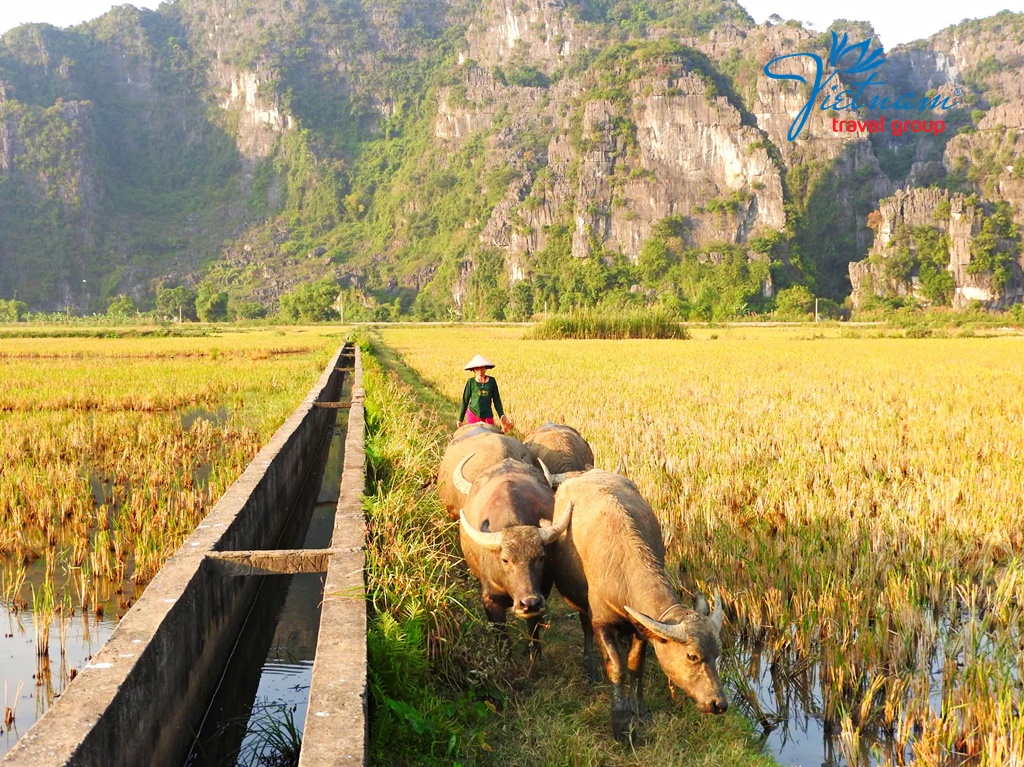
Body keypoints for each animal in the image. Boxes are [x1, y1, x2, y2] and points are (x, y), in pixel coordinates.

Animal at [454, 454, 569, 659]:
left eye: (540, 557)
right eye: (505, 560)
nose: (529, 603)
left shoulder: (543, 594)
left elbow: (534, 628)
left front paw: (534, 656)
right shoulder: (490, 600)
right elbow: (501, 636)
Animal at [552, 469, 729, 737]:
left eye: (717, 653)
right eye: (692, 656)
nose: (718, 703)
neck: (622, 569)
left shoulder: (642, 628)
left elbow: (636, 666)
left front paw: (640, 710)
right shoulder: (601, 621)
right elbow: (616, 667)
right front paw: (621, 721)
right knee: (584, 625)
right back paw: (589, 666)